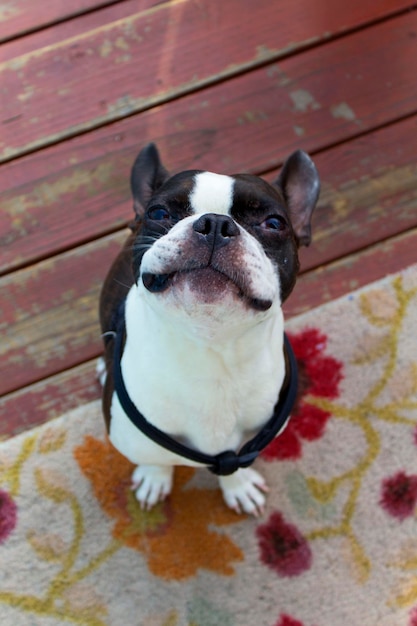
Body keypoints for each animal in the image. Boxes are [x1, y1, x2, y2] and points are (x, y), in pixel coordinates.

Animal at [98, 144, 318, 516]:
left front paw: (238, 487)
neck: (210, 348)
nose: (215, 223)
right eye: (159, 212)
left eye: (274, 223)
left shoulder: (242, 448)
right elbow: (155, 458)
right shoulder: (136, 441)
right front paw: (155, 478)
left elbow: (232, 464)